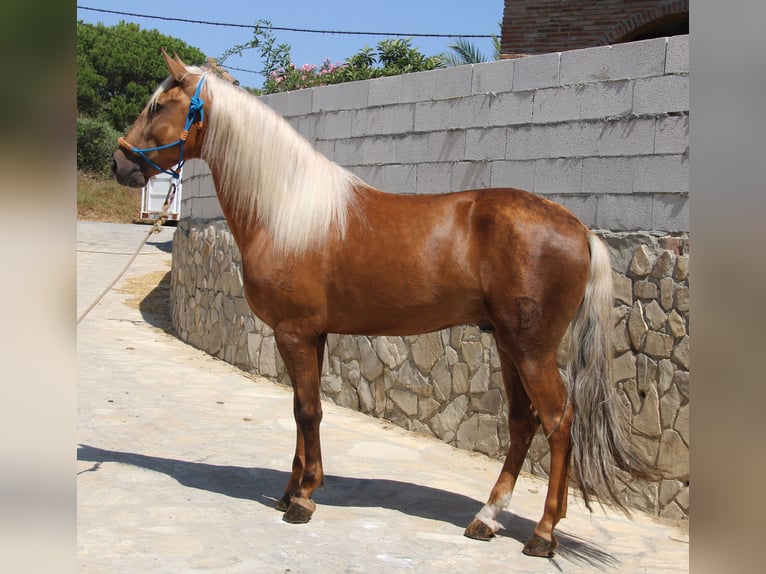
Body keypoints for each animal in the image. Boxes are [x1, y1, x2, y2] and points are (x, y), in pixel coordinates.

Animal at [112, 53, 656, 560]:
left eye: (158, 106)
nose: (119, 164)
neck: (287, 211)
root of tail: (579, 228)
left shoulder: (294, 332)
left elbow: (308, 410)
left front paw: (303, 499)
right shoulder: (312, 336)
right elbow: (301, 410)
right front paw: (293, 488)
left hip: (531, 350)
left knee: (559, 422)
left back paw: (543, 534)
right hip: (507, 346)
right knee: (523, 424)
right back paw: (486, 518)